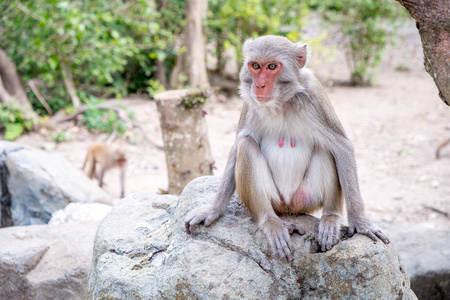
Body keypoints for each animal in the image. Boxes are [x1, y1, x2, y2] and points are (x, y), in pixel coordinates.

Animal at [185, 34, 388, 260]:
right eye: (255, 66)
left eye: (272, 66)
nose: (259, 85)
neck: (280, 102)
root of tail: (289, 208)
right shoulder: (250, 104)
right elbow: (238, 145)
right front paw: (213, 209)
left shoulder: (314, 94)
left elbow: (341, 147)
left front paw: (361, 222)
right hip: (276, 200)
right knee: (246, 147)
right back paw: (270, 222)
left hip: (306, 198)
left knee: (326, 149)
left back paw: (330, 217)